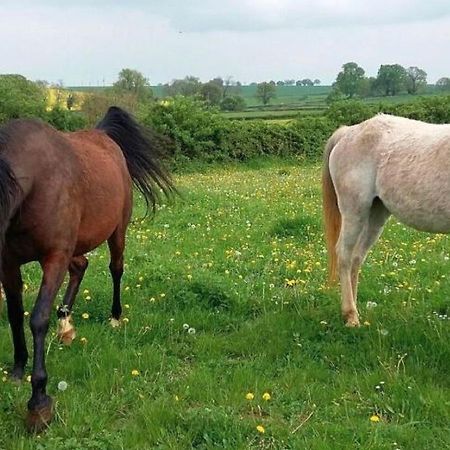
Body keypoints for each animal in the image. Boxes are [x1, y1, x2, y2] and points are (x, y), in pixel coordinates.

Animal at [0, 106, 174, 432]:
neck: (34, 183)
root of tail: (104, 135)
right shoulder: (8, 262)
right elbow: (16, 314)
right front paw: (17, 369)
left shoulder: (54, 256)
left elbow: (38, 319)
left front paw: (39, 401)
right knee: (81, 266)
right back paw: (66, 324)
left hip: (117, 232)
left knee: (115, 269)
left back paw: (114, 317)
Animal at [322, 115, 450, 326]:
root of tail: (348, 132)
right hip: (354, 211)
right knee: (344, 255)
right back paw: (350, 316)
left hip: (376, 215)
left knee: (357, 257)